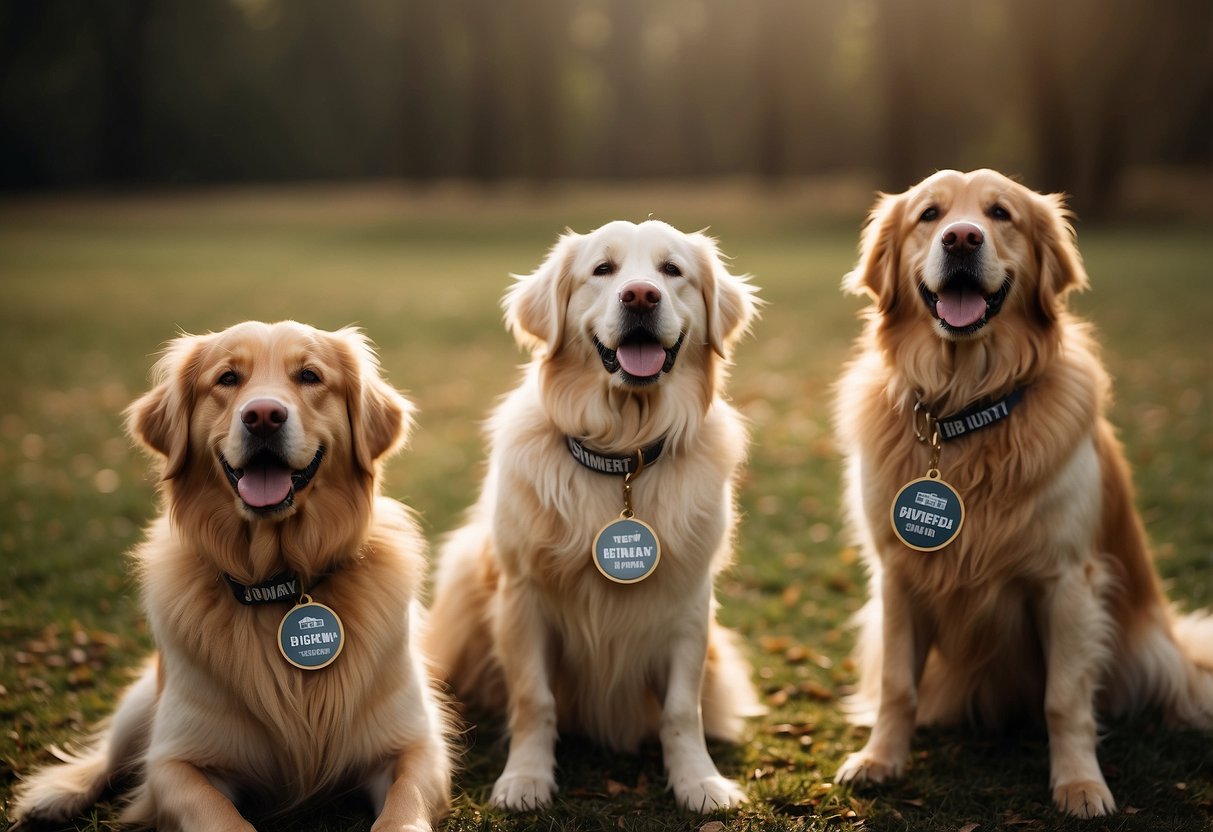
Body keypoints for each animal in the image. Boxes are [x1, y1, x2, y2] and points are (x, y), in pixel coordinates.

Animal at [8, 322, 456, 829]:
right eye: (227, 379)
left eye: (309, 375)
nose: (263, 416)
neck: (279, 584)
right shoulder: (175, 762)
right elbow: (217, 813)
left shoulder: (417, 748)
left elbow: (403, 811)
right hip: (146, 695)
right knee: (109, 754)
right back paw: (58, 793)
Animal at [834, 169, 1213, 819]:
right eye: (930, 215)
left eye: (1000, 214)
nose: (962, 238)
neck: (964, 409)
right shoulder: (897, 576)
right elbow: (896, 686)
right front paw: (880, 759)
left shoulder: (1066, 580)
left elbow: (1064, 698)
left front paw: (1080, 783)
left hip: (1153, 653)